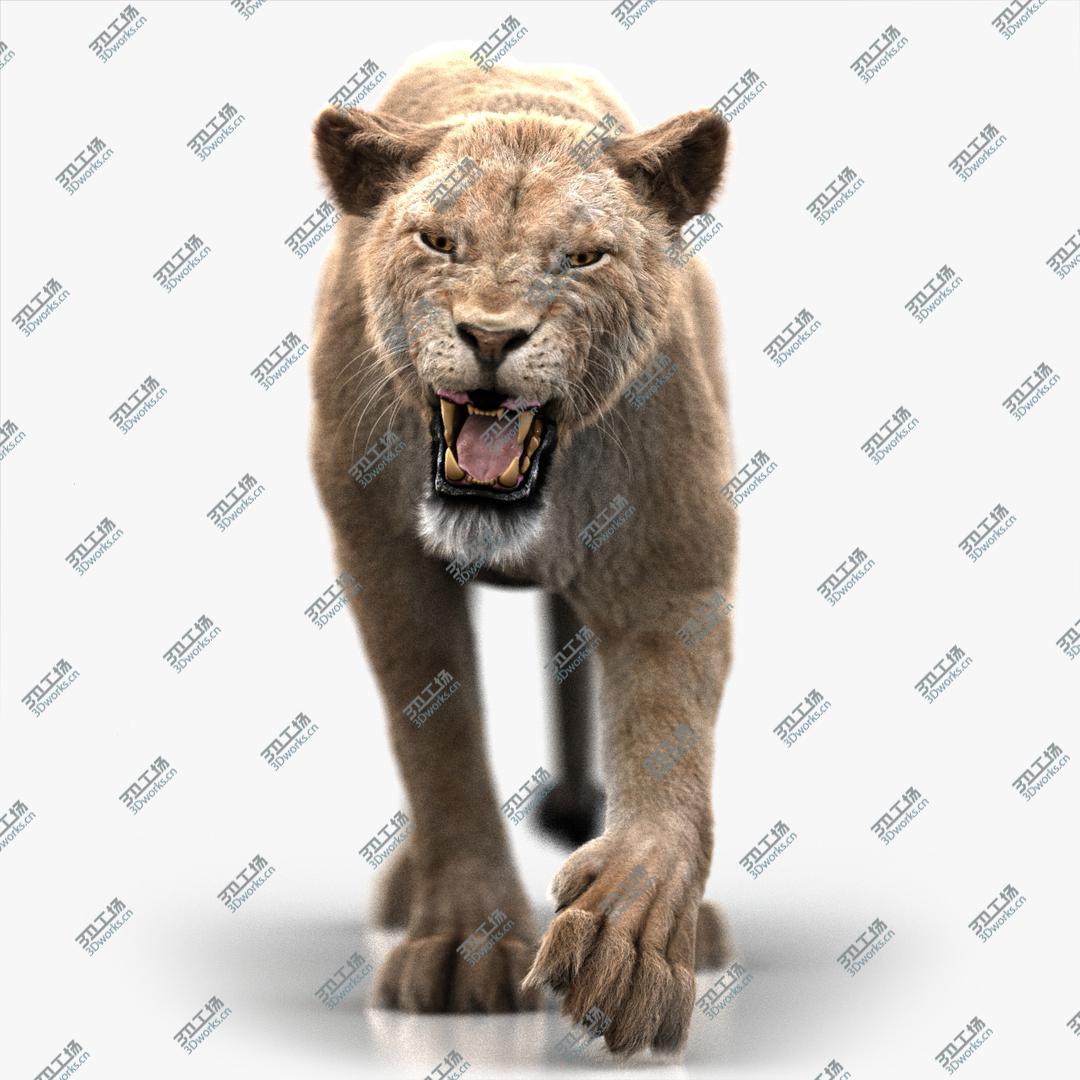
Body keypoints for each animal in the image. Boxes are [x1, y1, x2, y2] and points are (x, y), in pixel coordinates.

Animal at [309, 50, 736, 1054]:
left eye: (583, 257)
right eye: (438, 242)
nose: (493, 336)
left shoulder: (671, 556)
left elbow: (668, 744)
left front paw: (629, 944)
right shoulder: (382, 555)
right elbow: (440, 745)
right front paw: (463, 944)